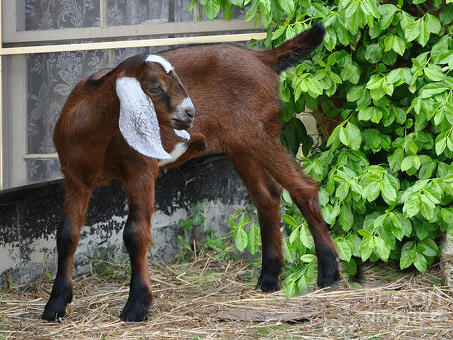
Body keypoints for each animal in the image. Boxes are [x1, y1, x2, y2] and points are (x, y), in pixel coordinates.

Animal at [43, 23, 340, 322]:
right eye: (154, 87)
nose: (189, 113)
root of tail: (263, 58)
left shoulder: (140, 169)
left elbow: (135, 234)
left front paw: (136, 305)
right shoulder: (74, 178)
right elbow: (67, 234)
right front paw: (55, 304)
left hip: (255, 131)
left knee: (304, 188)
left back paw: (329, 274)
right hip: (239, 144)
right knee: (267, 196)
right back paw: (269, 278)